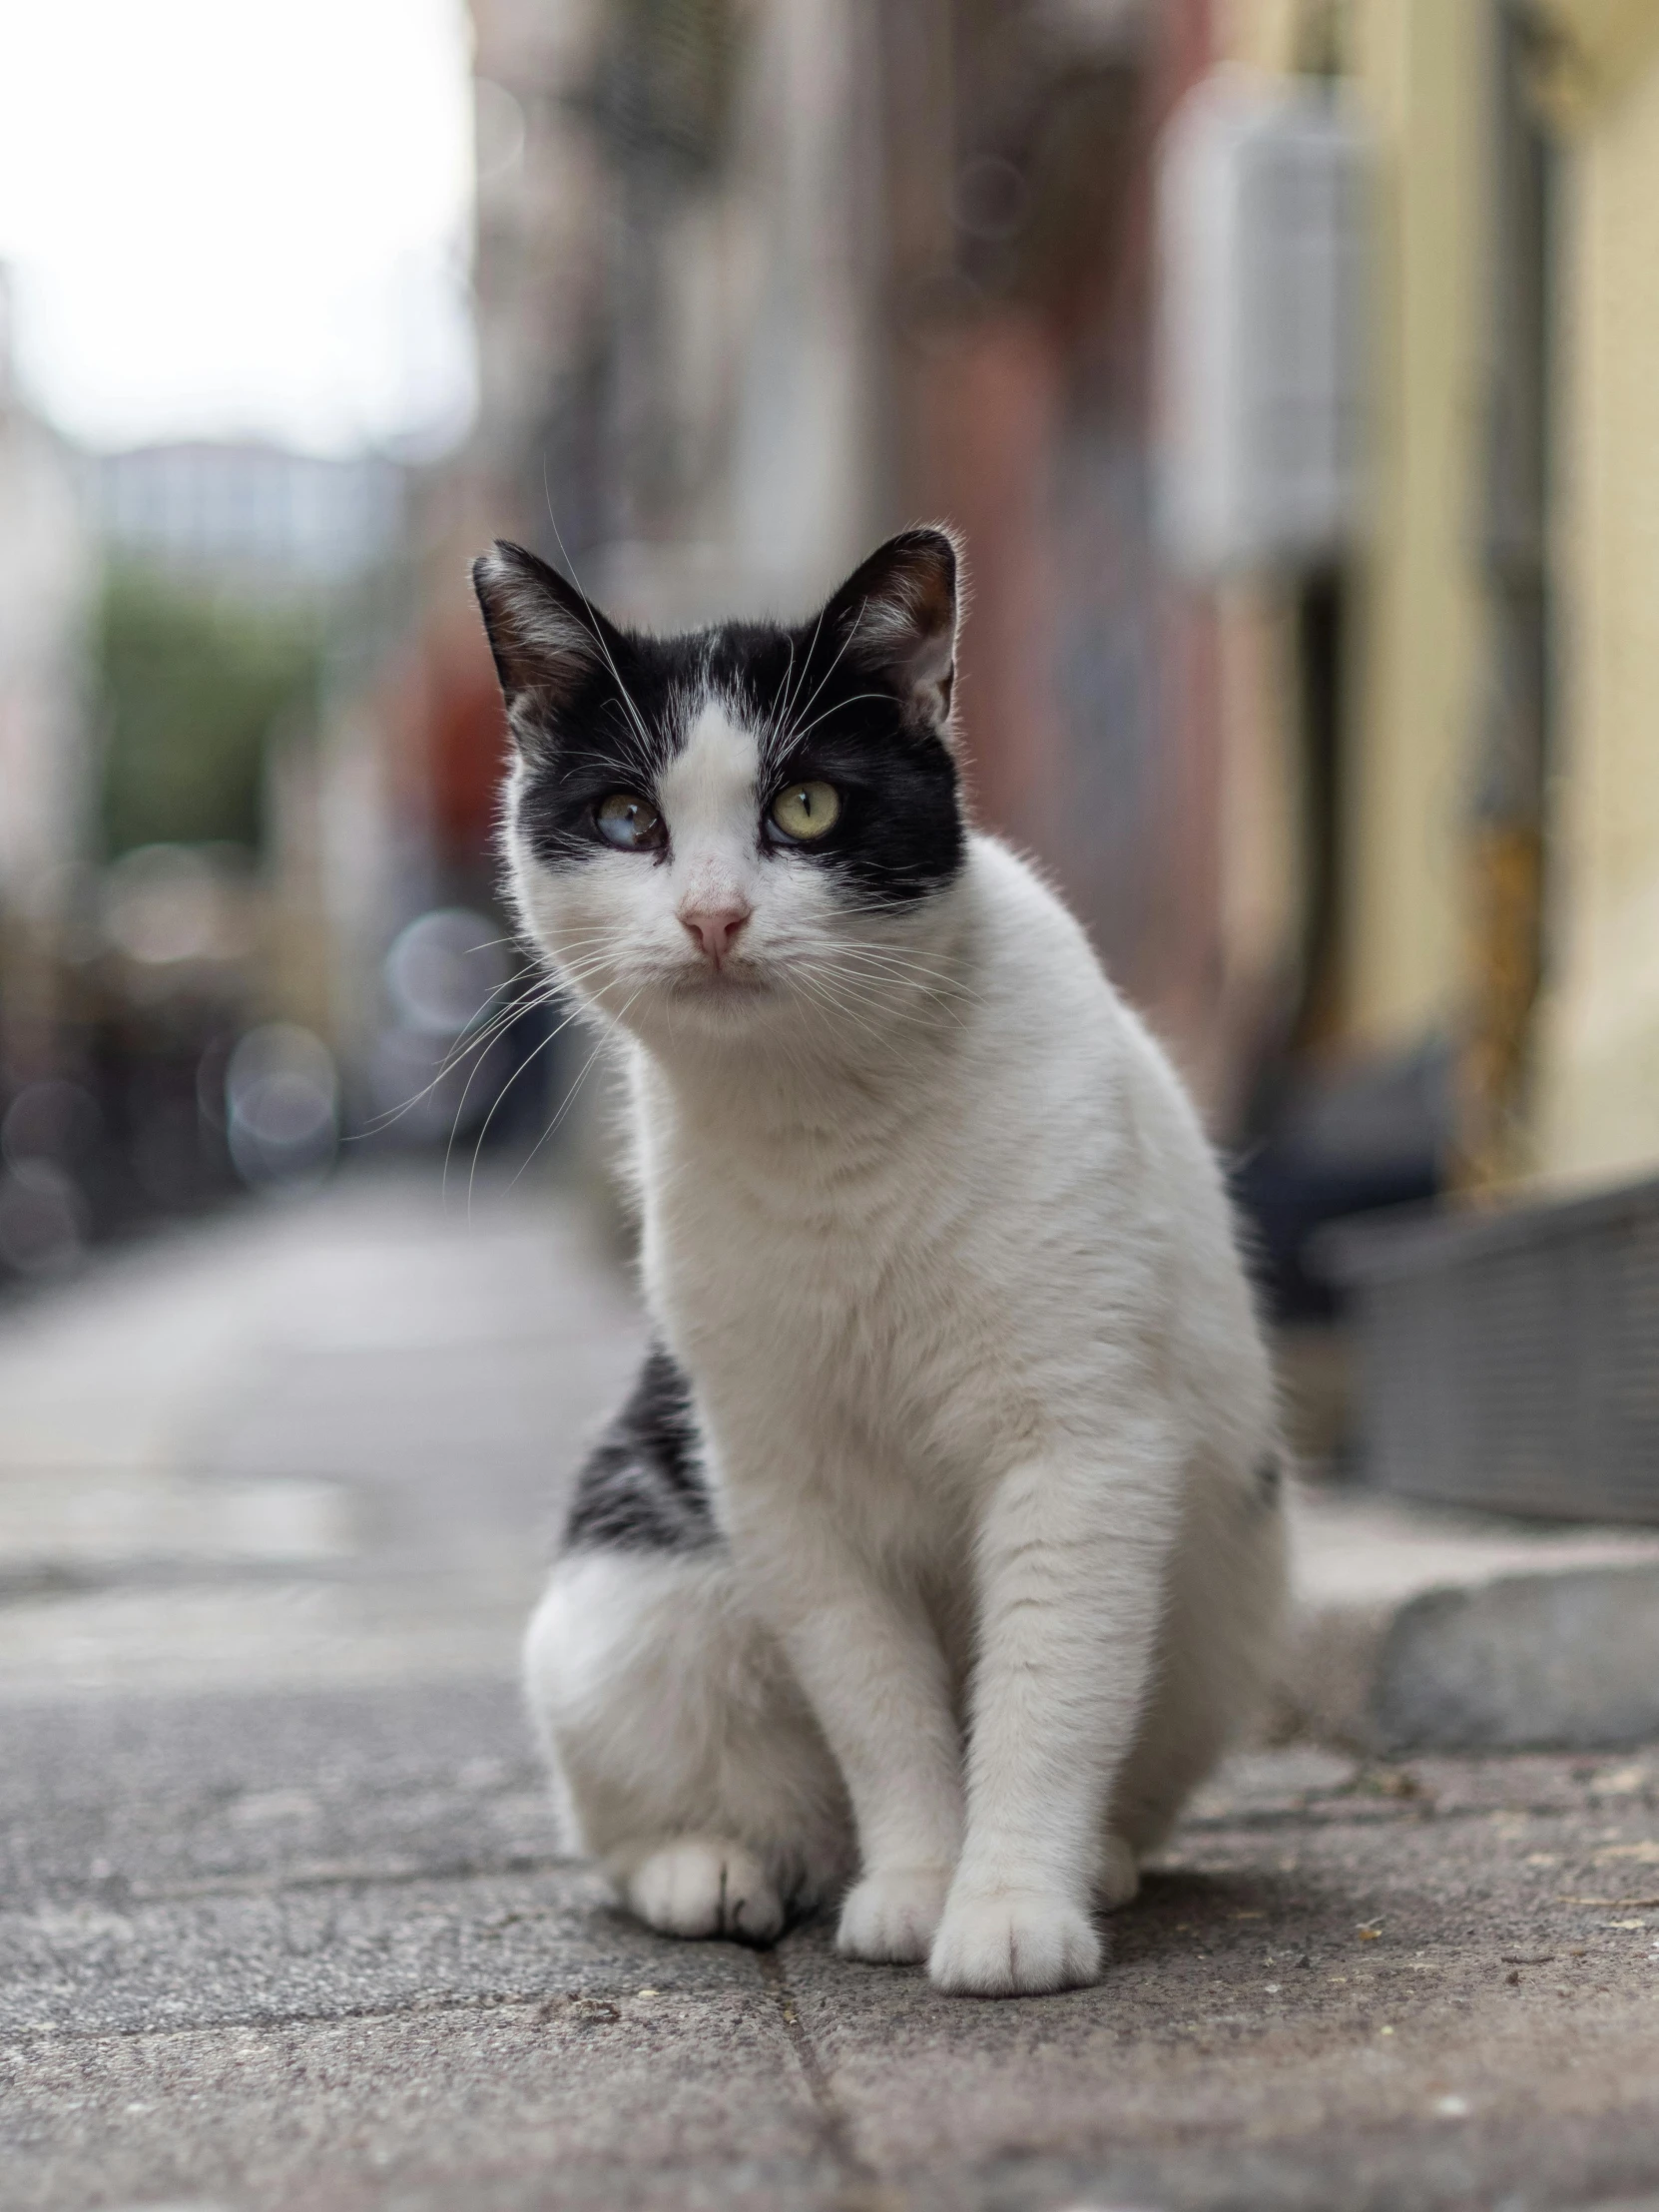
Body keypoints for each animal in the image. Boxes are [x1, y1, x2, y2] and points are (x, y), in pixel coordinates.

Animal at [473, 530, 1292, 2008]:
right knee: (639, 1826)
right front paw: (917, 1885)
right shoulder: (784, 1489)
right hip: (625, 1610)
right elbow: (881, 1712)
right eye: (625, 820)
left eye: (804, 807)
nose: (714, 916)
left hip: (1225, 1602)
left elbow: (1044, 1692)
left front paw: (1010, 1906)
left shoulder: (1080, 1451)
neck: (827, 1124)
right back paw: (719, 1870)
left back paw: (1099, 1862)